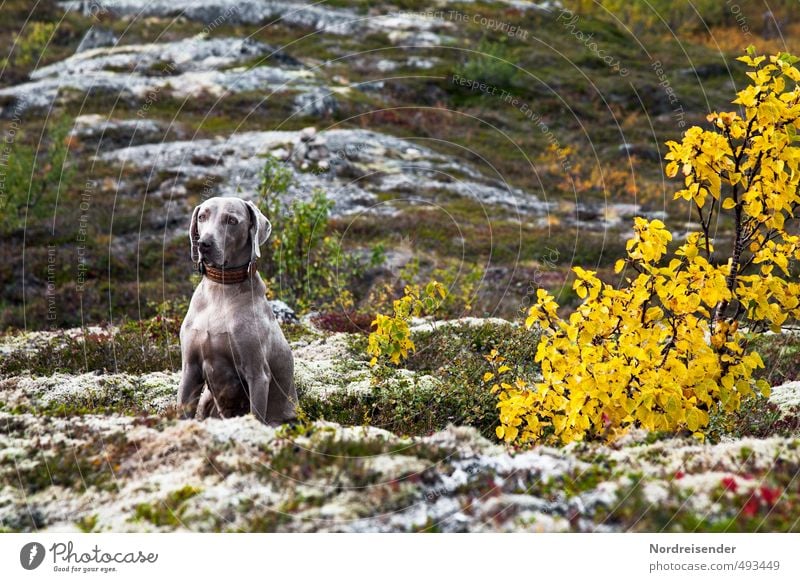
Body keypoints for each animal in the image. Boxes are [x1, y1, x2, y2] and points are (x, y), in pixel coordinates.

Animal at [177, 196, 296, 424]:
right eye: (202, 217)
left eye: (231, 221)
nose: (204, 244)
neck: (221, 290)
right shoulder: (190, 369)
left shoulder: (257, 374)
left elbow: (256, 415)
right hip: (206, 398)